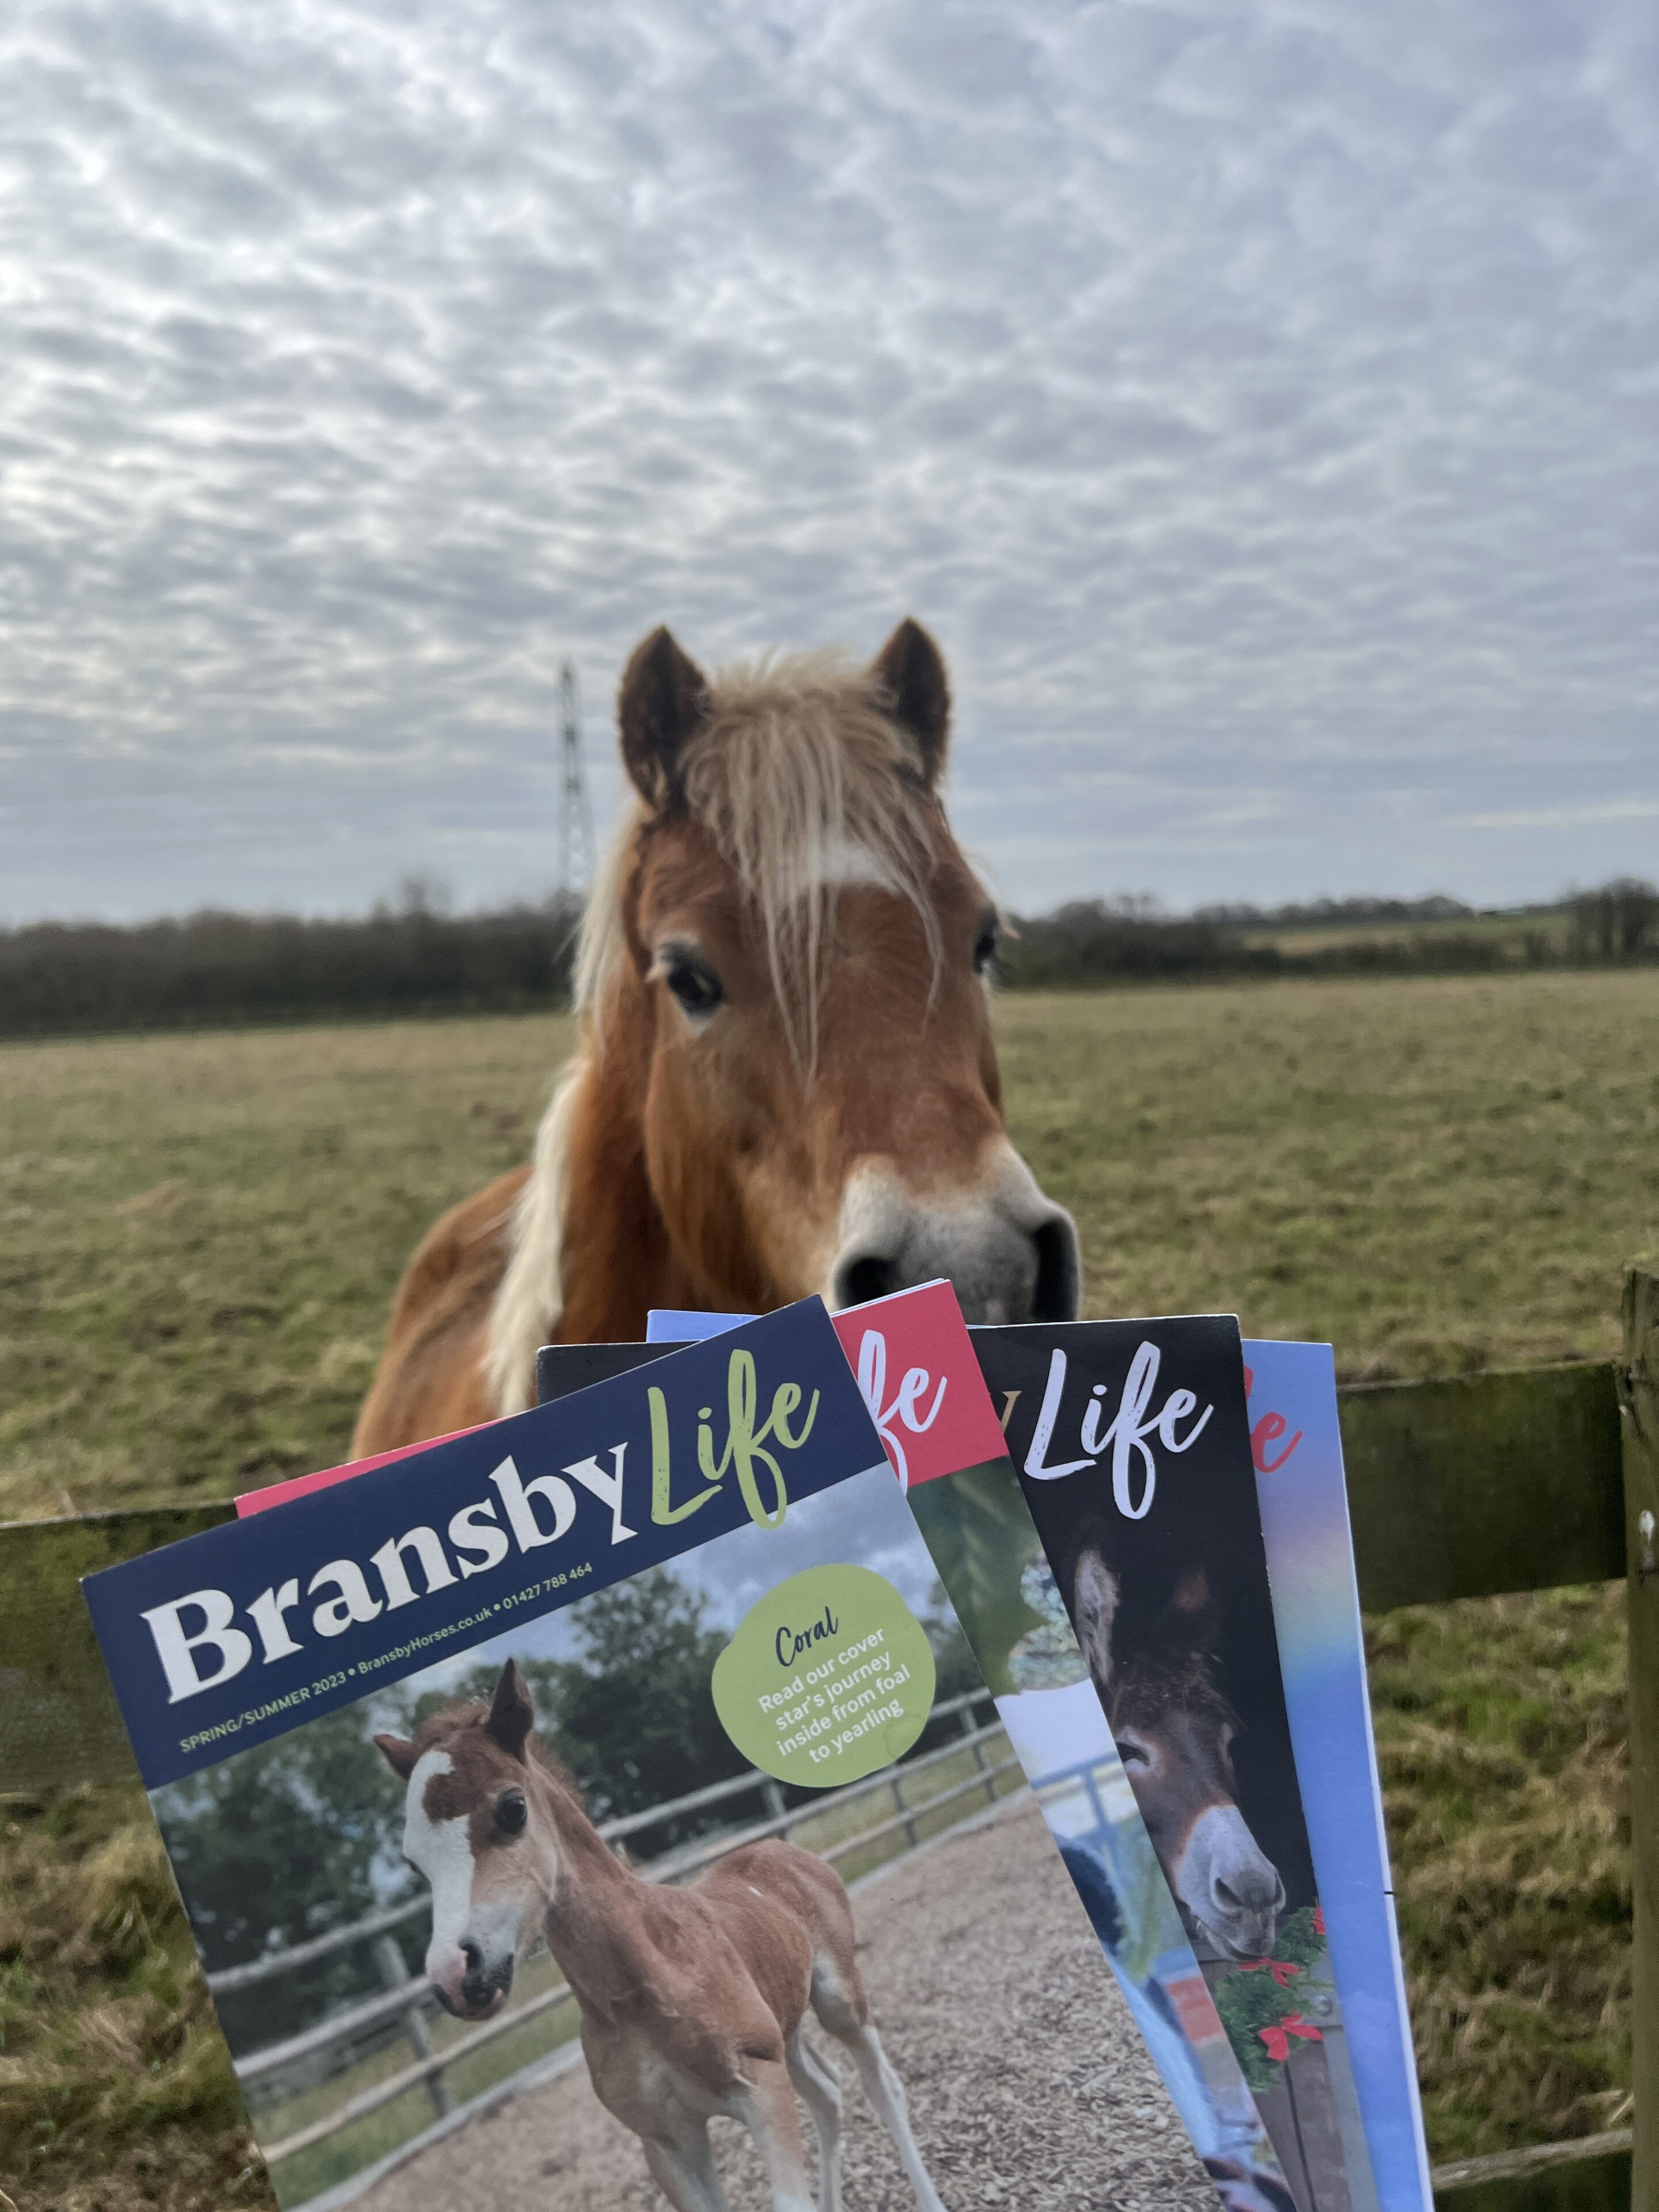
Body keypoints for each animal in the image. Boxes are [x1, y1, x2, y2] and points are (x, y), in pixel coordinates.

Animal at [375, 1661, 948, 2212]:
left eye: (513, 1808)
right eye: (413, 1860)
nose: (455, 1976)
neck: (646, 1980)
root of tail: (786, 1851)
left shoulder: (761, 2087)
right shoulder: (667, 2142)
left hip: (839, 2002)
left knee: (883, 2089)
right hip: (786, 2033)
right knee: (828, 2095)